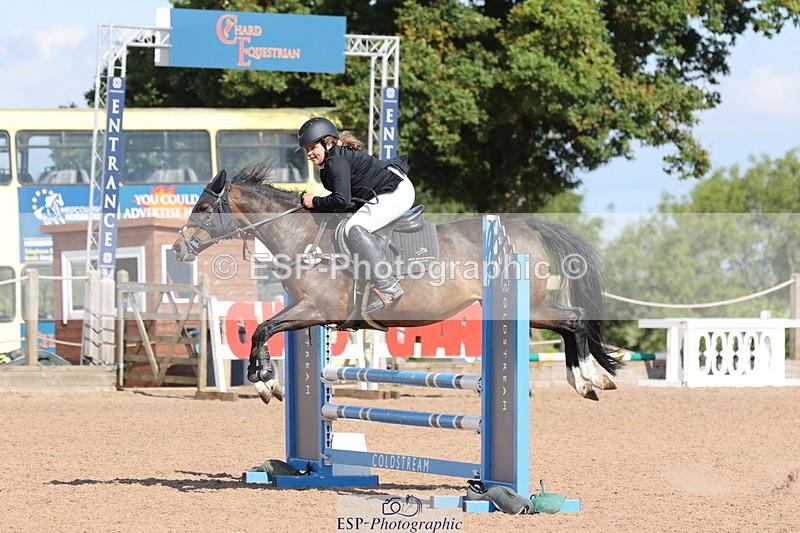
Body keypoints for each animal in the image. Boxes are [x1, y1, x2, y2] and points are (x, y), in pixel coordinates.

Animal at [172, 160, 622, 404]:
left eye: (204, 207)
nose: (178, 249)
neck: (302, 236)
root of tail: (524, 226)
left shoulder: (314, 309)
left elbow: (262, 329)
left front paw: (265, 382)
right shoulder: (307, 312)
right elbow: (263, 331)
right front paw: (268, 382)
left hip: (529, 304)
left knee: (575, 319)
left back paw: (589, 379)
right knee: (569, 324)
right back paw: (589, 379)